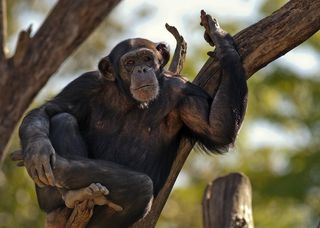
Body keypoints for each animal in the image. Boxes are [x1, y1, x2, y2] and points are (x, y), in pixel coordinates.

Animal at [13, 12, 248, 228]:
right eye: (130, 62)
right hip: (49, 203)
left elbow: (217, 128)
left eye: (147, 58)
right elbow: (46, 110)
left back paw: (64, 174)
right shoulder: (85, 84)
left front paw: (221, 40)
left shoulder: (184, 91)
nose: (142, 69)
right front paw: (37, 151)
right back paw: (67, 200)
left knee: (142, 186)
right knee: (63, 119)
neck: (131, 99)